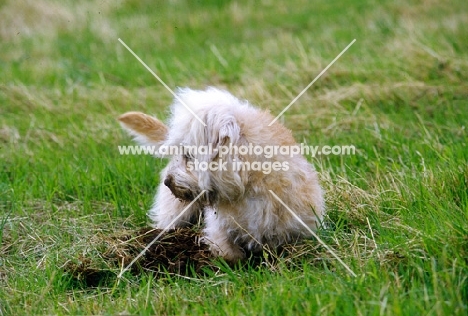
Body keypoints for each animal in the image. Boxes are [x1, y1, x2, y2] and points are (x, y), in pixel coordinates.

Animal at [119, 87, 324, 262]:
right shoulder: (218, 229)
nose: (167, 182)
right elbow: (228, 252)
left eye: (188, 156)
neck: (250, 189)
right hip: (175, 213)